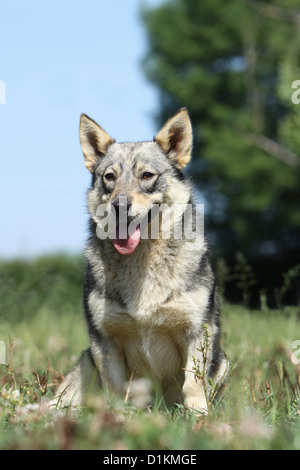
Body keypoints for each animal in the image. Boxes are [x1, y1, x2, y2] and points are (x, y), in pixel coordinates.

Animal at [51, 108, 229, 414]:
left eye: (147, 175)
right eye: (109, 177)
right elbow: (115, 388)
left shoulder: (196, 333)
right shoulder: (104, 341)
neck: (142, 260)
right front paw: (117, 418)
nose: (119, 206)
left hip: (223, 362)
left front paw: (199, 419)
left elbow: (193, 385)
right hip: (85, 363)